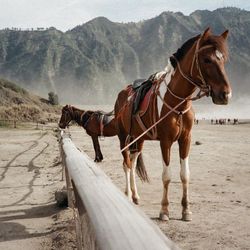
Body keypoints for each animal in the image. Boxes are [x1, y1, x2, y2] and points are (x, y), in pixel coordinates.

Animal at [114, 28, 231, 222]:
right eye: (207, 59)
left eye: (224, 59)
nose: (225, 95)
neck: (178, 103)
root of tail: (123, 93)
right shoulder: (166, 141)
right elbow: (167, 176)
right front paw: (164, 210)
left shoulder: (185, 140)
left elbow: (185, 175)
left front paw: (186, 210)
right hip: (124, 137)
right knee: (127, 164)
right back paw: (129, 196)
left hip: (139, 139)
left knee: (133, 160)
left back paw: (136, 196)